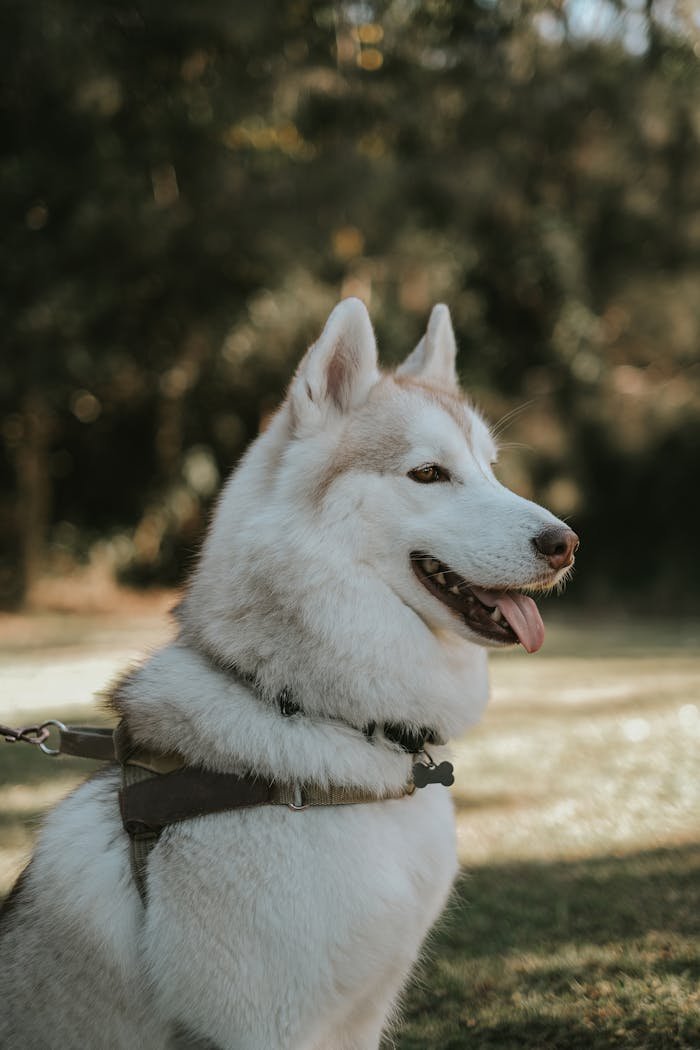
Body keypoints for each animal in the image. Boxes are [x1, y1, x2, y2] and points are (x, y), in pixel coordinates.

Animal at [0, 298, 579, 1050]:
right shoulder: (265, 1026)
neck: (316, 714)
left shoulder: (361, 1016)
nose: (567, 543)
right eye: (429, 474)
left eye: (490, 468)